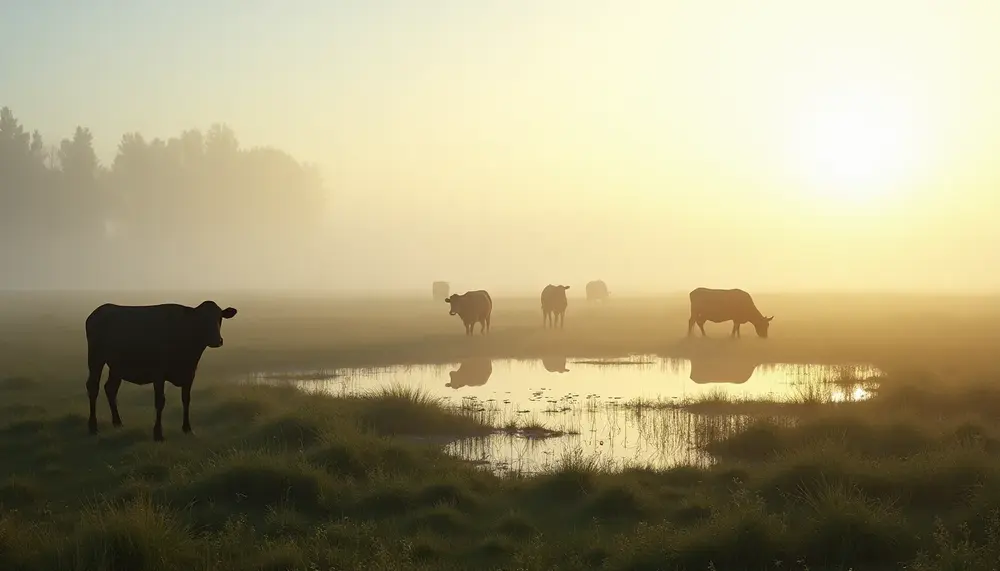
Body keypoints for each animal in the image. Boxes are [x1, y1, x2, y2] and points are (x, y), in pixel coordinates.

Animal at [83, 304, 237, 442]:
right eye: (201, 319)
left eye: (219, 318)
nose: (217, 340)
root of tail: (99, 310)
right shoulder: (158, 374)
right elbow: (160, 401)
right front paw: (158, 434)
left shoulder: (190, 374)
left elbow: (186, 399)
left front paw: (187, 429)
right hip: (96, 358)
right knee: (93, 387)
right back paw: (93, 426)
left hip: (117, 366)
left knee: (110, 388)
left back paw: (117, 423)